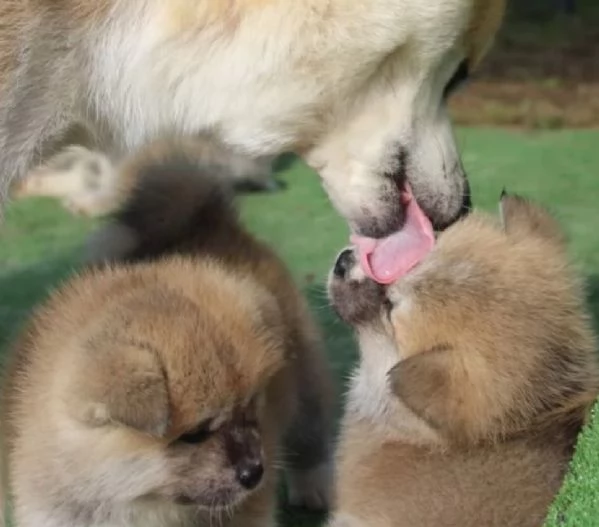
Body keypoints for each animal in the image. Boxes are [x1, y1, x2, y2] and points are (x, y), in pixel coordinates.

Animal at [2, 140, 336, 527]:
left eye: (252, 409)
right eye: (194, 435)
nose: (255, 472)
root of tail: (209, 223)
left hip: (306, 383)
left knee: (311, 437)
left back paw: (315, 488)